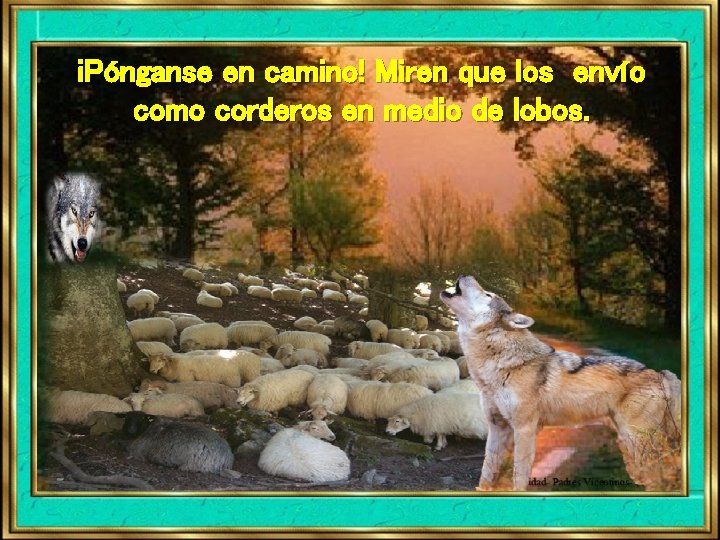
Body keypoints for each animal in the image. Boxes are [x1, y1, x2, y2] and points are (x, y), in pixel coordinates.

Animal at [440, 275, 681, 491]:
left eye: (488, 294)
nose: (465, 274)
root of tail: (660, 373)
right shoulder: (496, 427)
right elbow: (486, 472)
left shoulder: (525, 429)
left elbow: (519, 475)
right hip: (629, 441)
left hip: (638, 441)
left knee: (661, 472)